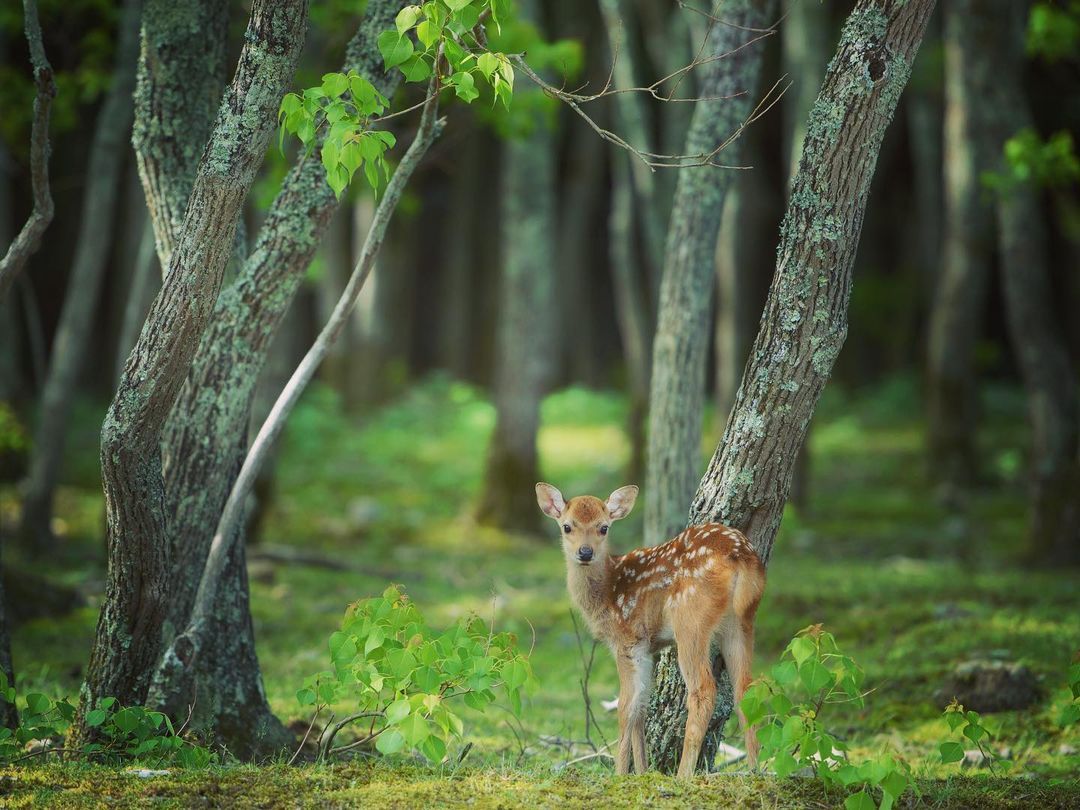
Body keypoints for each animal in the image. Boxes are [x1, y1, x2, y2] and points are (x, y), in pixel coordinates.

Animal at [536, 482, 765, 779]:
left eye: (603, 527)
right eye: (567, 526)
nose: (585, 553)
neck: (607, 593)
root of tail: (741, 556)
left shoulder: (627, 641)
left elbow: (625, 705)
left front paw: (620, 774)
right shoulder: (646, 647)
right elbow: (642, 705)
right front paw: (643, 771)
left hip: (690, 619)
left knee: (703, 690)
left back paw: (683, 775)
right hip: (742, 621)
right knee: (745, 688)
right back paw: (755, 769)